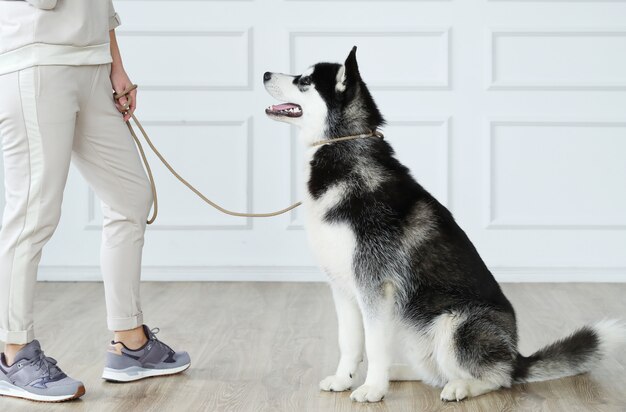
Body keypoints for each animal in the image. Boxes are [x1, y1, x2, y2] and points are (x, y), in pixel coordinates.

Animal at [262, 45, 620, 402]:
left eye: (304, 81)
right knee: (435, 371)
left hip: (453, 324)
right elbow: (349, 342)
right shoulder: (343, 288)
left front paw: (373, 389)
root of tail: (517, 355)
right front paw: (344, 379)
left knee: (497, 377)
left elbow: (375, 346)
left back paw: (460, 386)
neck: (343, 148)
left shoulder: (374, 287)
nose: (265, 74)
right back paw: (400, 373)